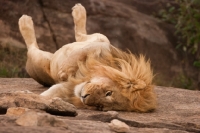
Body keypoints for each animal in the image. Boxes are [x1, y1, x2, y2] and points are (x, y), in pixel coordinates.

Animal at [18, 3, 156, 112]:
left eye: (100, 107)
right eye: (108, 93)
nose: (84, 98)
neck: (84, 76)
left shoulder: (63, 89)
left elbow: (45, 96)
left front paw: (25, 95)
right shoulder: (106, 49)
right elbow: (86, 50)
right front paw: (64, 70)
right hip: (40, 60)